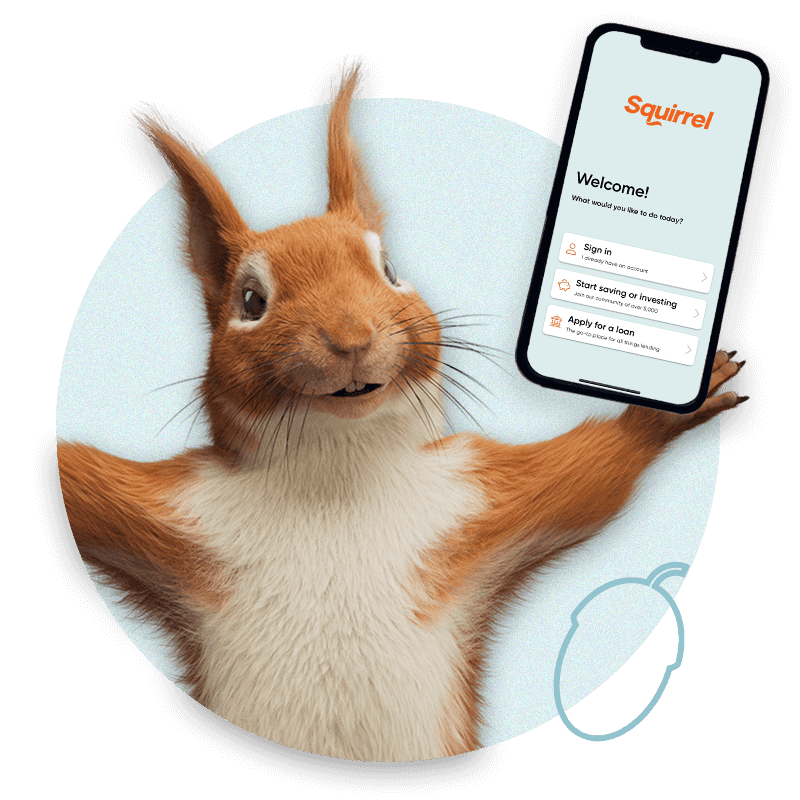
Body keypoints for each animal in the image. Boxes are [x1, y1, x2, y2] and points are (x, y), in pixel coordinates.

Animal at [57, 63, 746, 761]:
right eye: (250, 301)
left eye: (391, 269)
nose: (350, 337)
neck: (340, 473)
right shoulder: (178, 517)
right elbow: (88, 485)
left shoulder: (480, 496)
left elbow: (587, 476)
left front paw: (664, 411)